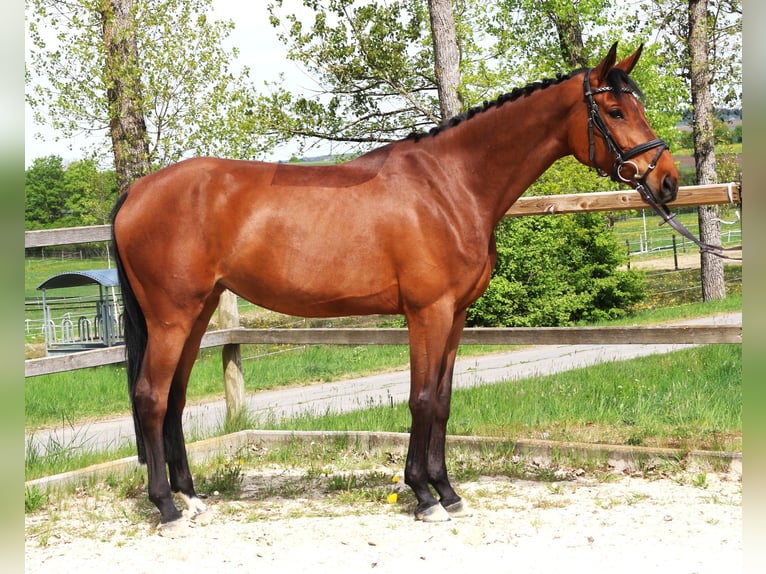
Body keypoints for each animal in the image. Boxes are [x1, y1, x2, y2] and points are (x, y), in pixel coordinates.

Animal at [111, 42, 678, 532]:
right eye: (616, 111)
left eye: (638, 105)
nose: (668, 181)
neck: (449, 185)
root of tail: (137, 191)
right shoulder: (428, 311)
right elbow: (422, 398)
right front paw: (424, 497)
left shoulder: (455, 315)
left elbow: (443, 400)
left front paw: (447, 491)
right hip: (172, 316)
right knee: (151, 397)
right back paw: (166, 508)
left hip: (199, 312)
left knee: (175, 398)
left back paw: (190, 497)